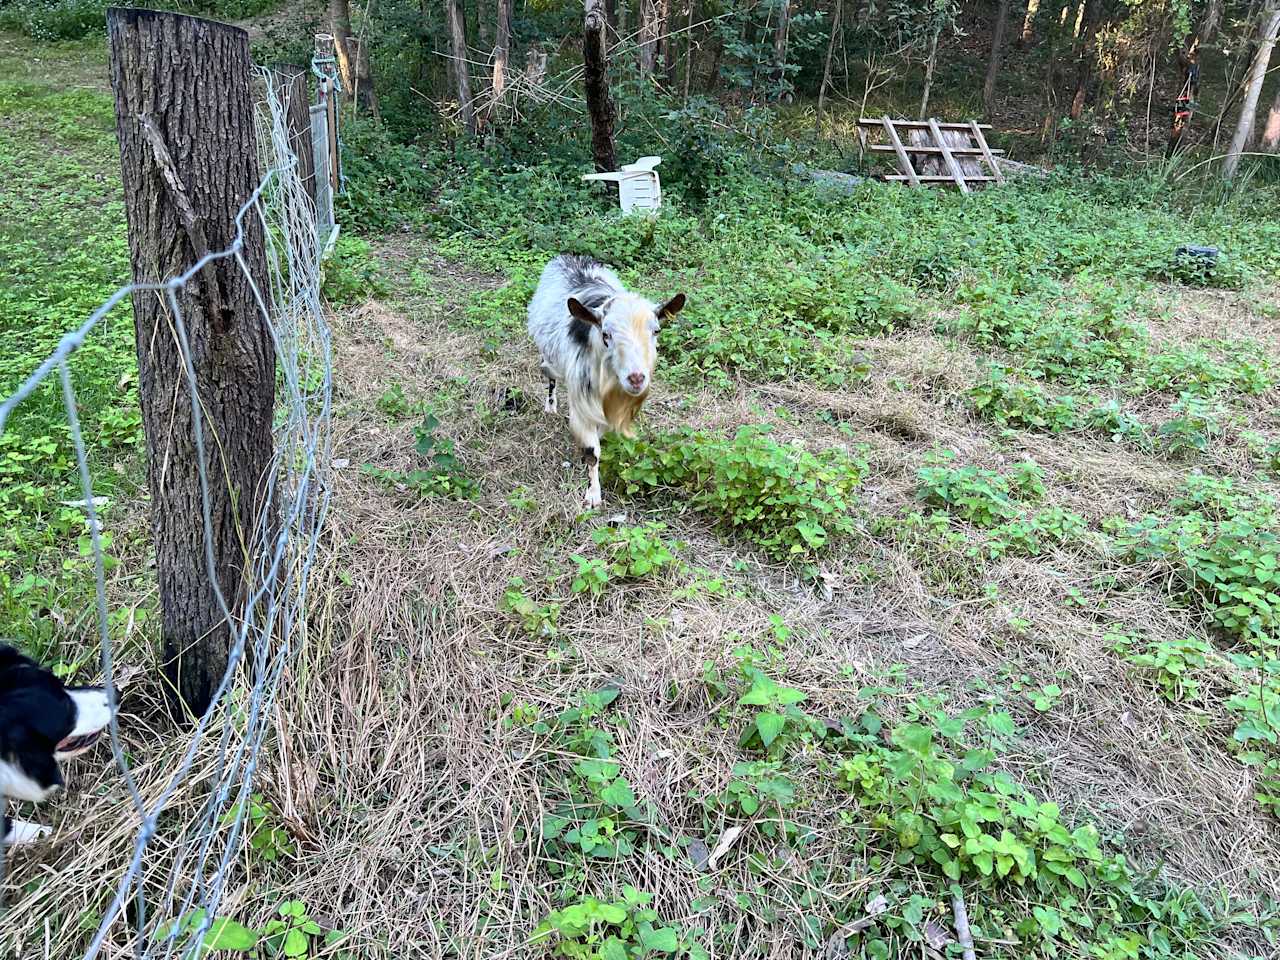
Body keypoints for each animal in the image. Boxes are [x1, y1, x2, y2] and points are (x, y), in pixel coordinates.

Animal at [527, 256, 686, 512]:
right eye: (606, 334)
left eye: (656, 331)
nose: (636, 378)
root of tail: (571, 256)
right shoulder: (581, 402)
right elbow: (592, 451)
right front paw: (593, 496)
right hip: (547, 354)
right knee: (549, 375)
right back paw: (550, 406)